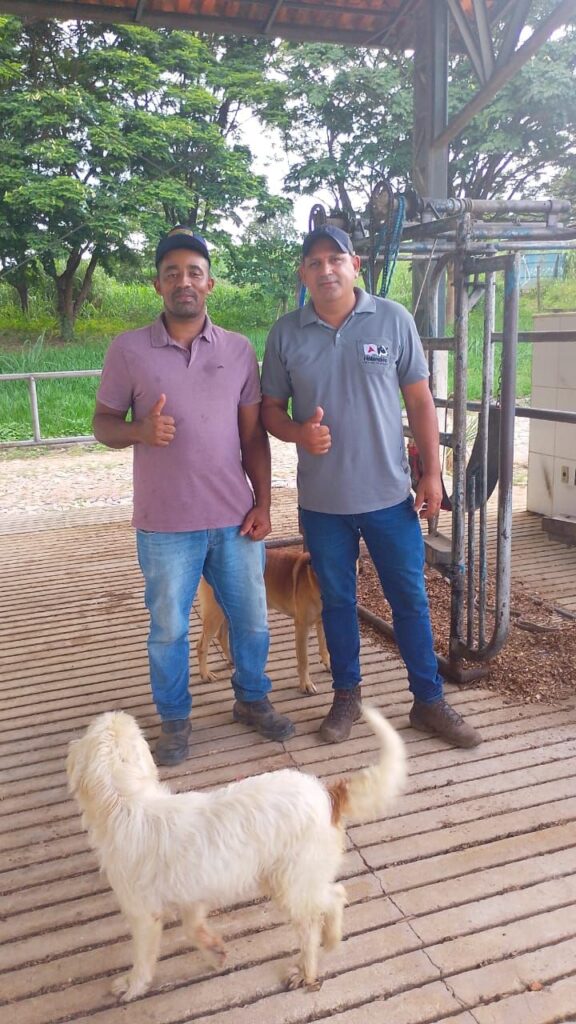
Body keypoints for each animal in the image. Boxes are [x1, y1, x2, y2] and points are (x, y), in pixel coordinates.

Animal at [67, 708, 406, 1000]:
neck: (128, 802)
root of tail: (328, 795)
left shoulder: (143, 914)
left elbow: (143, 959)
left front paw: (132, 986)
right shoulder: (193, 894)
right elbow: (192, 929)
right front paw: (214, 951)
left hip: (291, 885)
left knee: (319, 917)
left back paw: (308, 968)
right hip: (290, 880)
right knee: (336, 893)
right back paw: (332, 940)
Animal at [197, 547, 330, 694]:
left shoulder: (322, 622)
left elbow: (324, 647)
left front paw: (329, 664)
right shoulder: (303, 626)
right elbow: (304, 660)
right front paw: (306, 684)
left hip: (228, 611)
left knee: (221, 636)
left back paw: (233, 660)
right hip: (215, 614)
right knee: (201, 645)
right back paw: (205, 674)